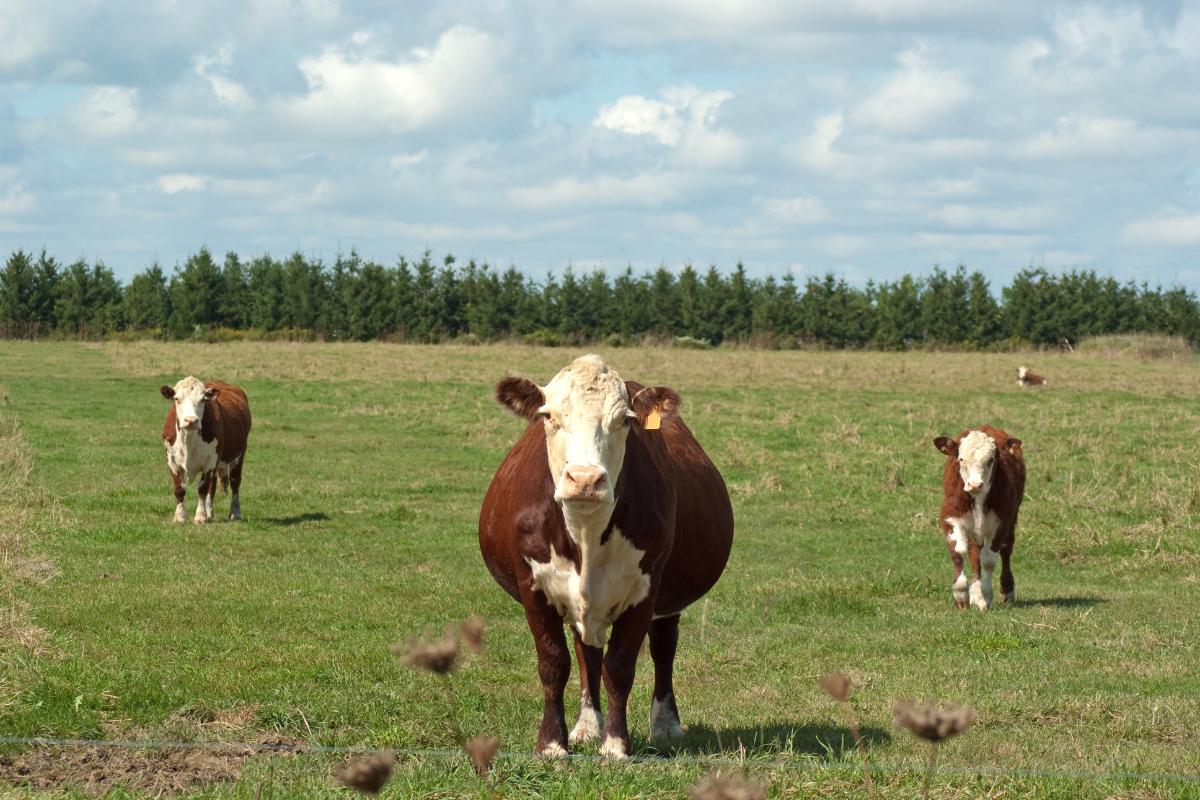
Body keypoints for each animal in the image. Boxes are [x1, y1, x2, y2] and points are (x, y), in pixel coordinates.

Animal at [160, 376, 251, 524]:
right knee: (212, 485)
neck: (188, 439)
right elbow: (179, 489)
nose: (191, 420)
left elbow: (202, 488)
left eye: (203, 399)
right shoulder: (171, 459)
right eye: (177, 399)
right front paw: (180, 516)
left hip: (239, 454)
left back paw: (235, 512)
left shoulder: (210, 460)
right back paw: (210, 512)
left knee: (235, 482)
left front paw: (200, 516)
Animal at [479, 355, 734, 759]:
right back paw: (586, 725)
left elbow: (621, 666)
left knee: (663, 646)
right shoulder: (533, 586)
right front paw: (553, 744)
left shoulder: (645, 590)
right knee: (587, 652)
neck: (585, 534)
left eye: (625, 420)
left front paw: (615, 743)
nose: (584, 479)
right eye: (548, 416)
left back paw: (665, 724)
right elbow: (554, 663)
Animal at [933, 426, 1025, 611]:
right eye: (961, 459)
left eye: (990, 460)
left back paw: (1007, 591)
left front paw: (987, 595)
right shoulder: (949, 517)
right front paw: (962, 594)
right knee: (974, 554)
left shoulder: (1001, 523)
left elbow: (989, 560)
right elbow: (958, 552)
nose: (975, 484)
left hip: (1011, 521)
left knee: (1006, 550)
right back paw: (975, 595)